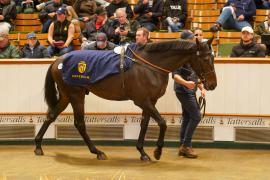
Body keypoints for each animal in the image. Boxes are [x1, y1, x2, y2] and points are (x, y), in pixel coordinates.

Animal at [34, 38, 217, 161]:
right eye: (205, 59)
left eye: (213, 58)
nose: (212, 84)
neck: (149, 65)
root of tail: (58, 61)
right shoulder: (142, 101)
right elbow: (162, 123)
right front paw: (157, 151)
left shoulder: (150, 102)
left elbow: (145, 124)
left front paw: (142, 152)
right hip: (76, 95)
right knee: (79, 123)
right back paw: (97, 152)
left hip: (66, 96)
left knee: (51, 116)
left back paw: (38, 146)